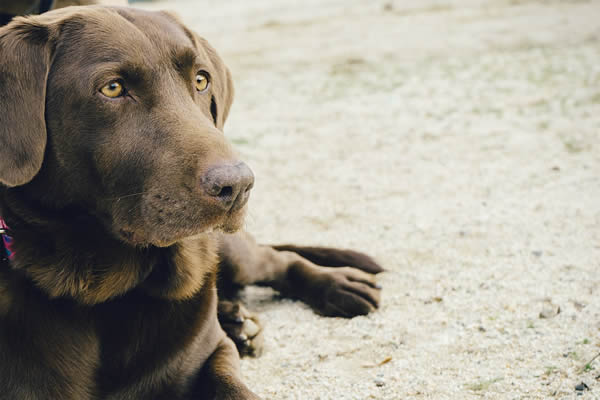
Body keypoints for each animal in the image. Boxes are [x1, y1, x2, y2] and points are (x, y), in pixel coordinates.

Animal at [0, 4, 382, 398]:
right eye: (112, 87)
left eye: (201, 80)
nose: (237, 185)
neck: (105, 294)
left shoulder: (211, 354)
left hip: (232, 252)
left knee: (277, 259)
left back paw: (336, 285)